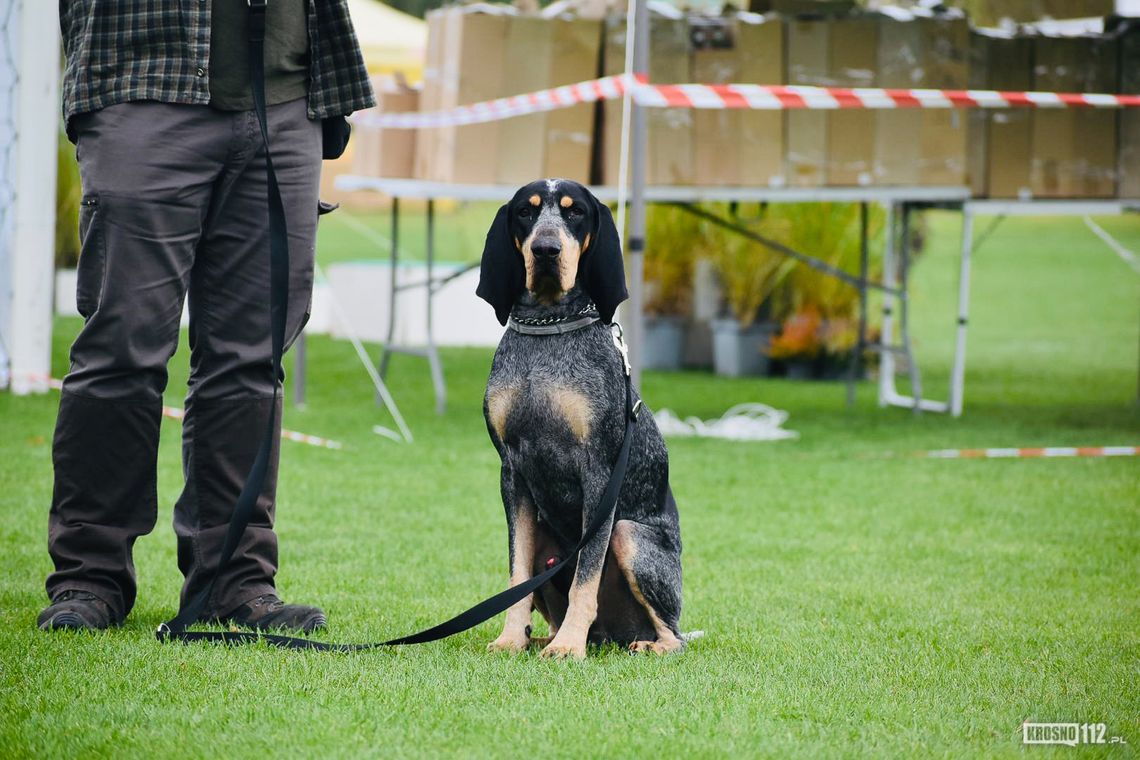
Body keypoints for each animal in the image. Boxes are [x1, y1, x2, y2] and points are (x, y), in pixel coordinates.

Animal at [474, 178, 679, 660]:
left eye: (575, 212)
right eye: (525, 213)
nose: (546, 249)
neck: (547, 327)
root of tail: (614, 635)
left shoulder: (599, 473)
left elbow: (586, 574)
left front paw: (569, 646)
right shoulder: (511, 473)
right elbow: (516, 574)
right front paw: (510, 638)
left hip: (629, 534)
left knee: (675, 635)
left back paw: (643, 645)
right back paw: (542, 637)